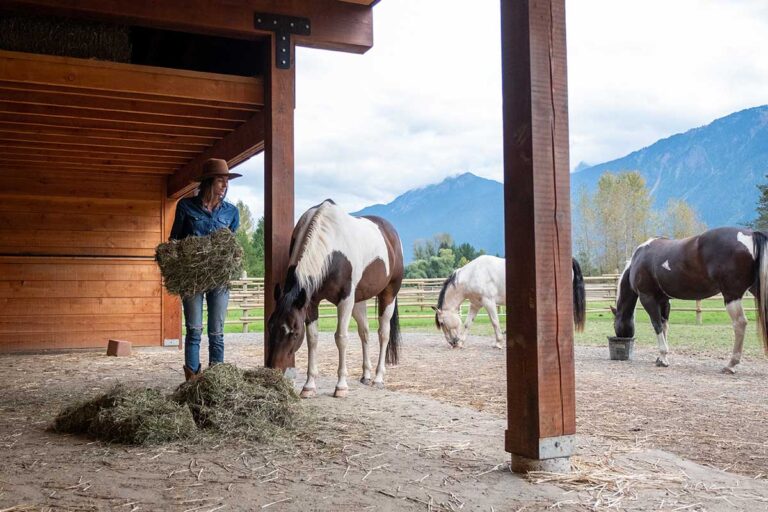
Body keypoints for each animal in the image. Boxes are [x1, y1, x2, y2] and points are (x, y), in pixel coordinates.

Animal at [268, 199, 404, 396]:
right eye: (270, 327)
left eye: (294, 333)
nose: (274, 371)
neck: (332, 251)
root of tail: (391, 233)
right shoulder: (310, 302)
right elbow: (313, 339)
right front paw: (309, 386)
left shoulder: (345, 300)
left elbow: (341, 337)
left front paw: (341, 386)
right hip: (359, 302)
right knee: (365, 332)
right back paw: (366, 375)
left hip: (389, 294)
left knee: (383, 334)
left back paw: (378, 378)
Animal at [432, 255, 588, 348]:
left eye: (441, 323)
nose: (452, 342)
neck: (473, 274)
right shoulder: (475, 304)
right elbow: (467, 323)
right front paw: (461, 342)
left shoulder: (489, 302)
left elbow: (495, 322)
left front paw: (498, 343)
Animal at [612, 228, 768, 372]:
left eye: (614, 324)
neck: (638, 259)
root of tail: (750, 235)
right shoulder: (664, 301)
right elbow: (664, 326)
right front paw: (661, 357)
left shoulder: (648, 298)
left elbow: (657, 325)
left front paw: (663, 357)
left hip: (731, 295)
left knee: (740, 323)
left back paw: (731, 364)